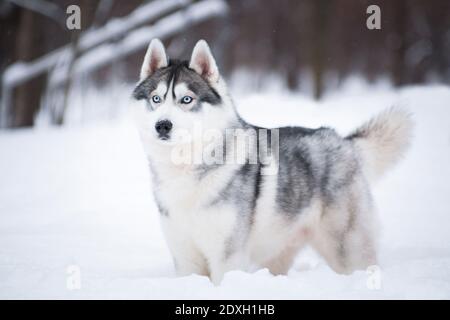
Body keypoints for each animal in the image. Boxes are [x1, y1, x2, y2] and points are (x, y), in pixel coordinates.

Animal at [131, 38, 412, 284]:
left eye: (186, 99)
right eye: (156, 99)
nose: (162, 125)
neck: (187, 170)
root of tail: (342, 141)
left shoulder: (227, 257)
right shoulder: (185, 258)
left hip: (347, 250)